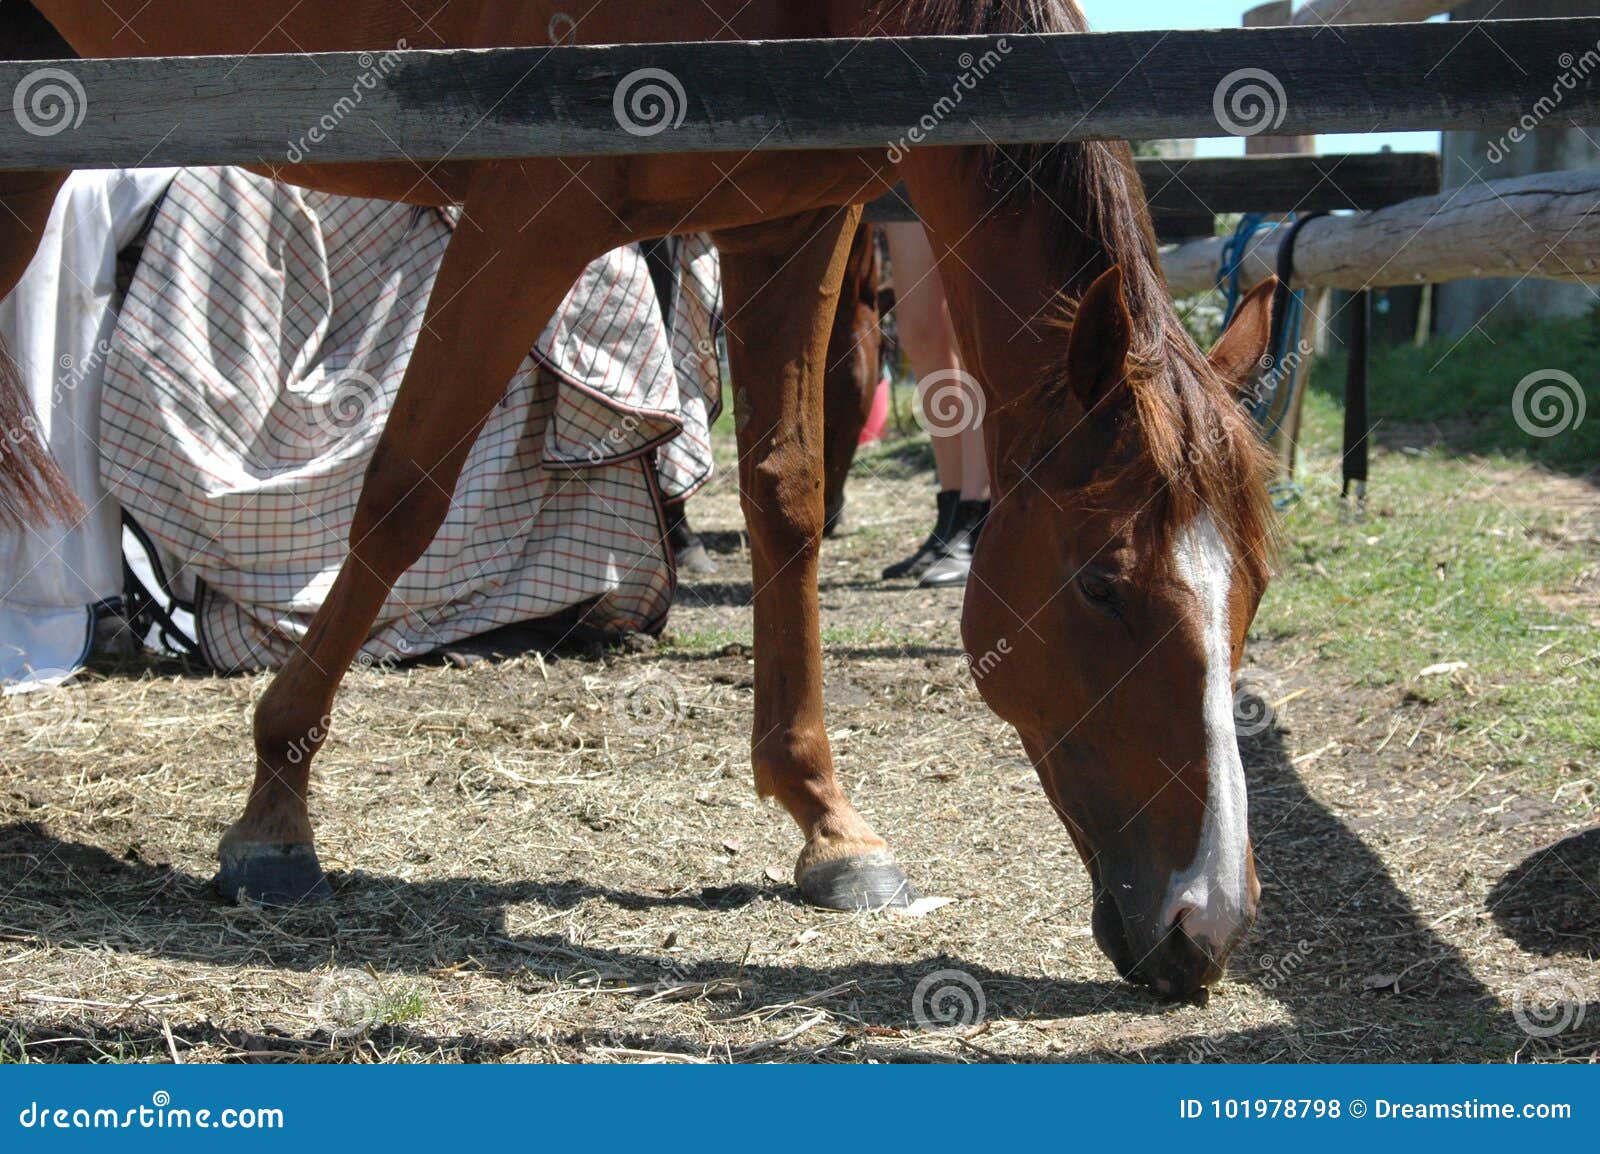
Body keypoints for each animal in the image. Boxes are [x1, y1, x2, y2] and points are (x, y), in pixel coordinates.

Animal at [0, 0, 1273, 992]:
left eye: (1253, 589)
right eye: (1102, 582)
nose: (1205, 926)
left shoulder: (790, 220)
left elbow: (785, 494)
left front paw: (825, 819)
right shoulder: (529, 210)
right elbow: (405, 492)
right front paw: (274, 812)